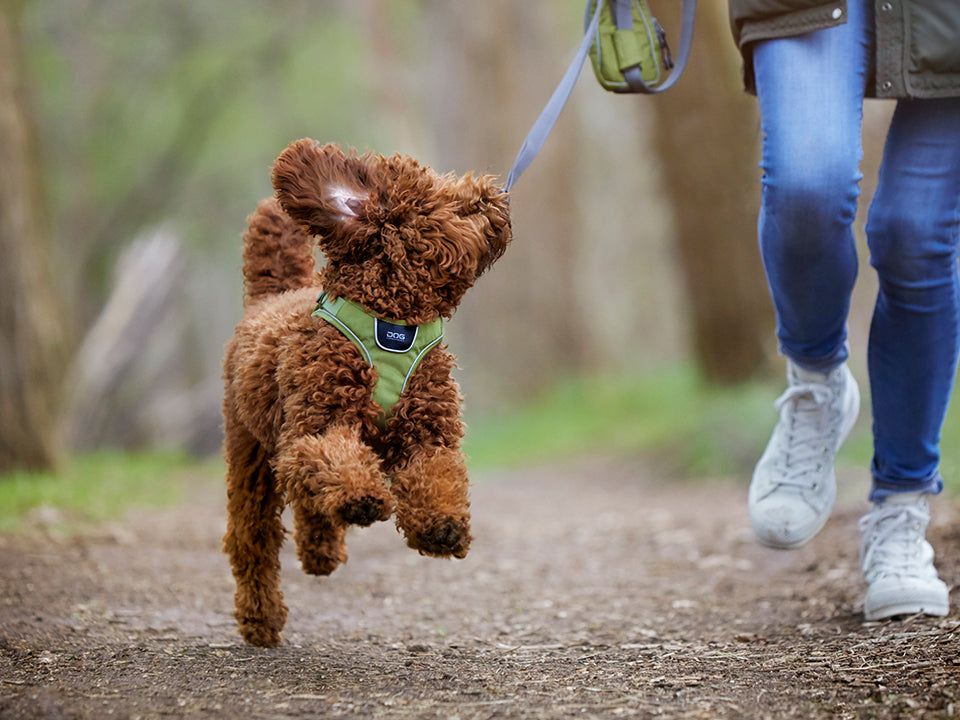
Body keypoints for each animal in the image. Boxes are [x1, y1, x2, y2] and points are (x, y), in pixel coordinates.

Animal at [222, 141, 512, 648]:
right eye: (448, 201)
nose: (492, 191)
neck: (392, 324)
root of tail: (269, 297)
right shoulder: (314, 429)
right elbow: (335, 460)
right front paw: (363, 496)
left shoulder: (428, 433)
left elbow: (438, 474)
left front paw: (441, 528)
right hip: (251, 453)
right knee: (253, 537)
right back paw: (261, 618)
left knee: (310, 503)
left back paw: (321, 552)